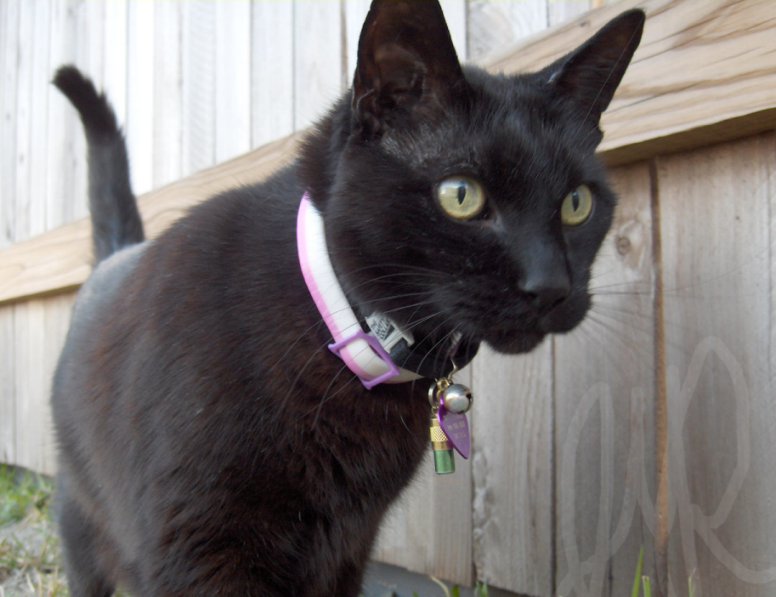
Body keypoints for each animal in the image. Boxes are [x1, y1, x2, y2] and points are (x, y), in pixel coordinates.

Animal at [48, 2, 644, 592]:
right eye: (461, 195)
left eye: (577, 203)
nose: (551, 284)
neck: (342, 332)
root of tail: (117, 254)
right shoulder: (200, 544)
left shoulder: (345, 545)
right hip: (83, 524)